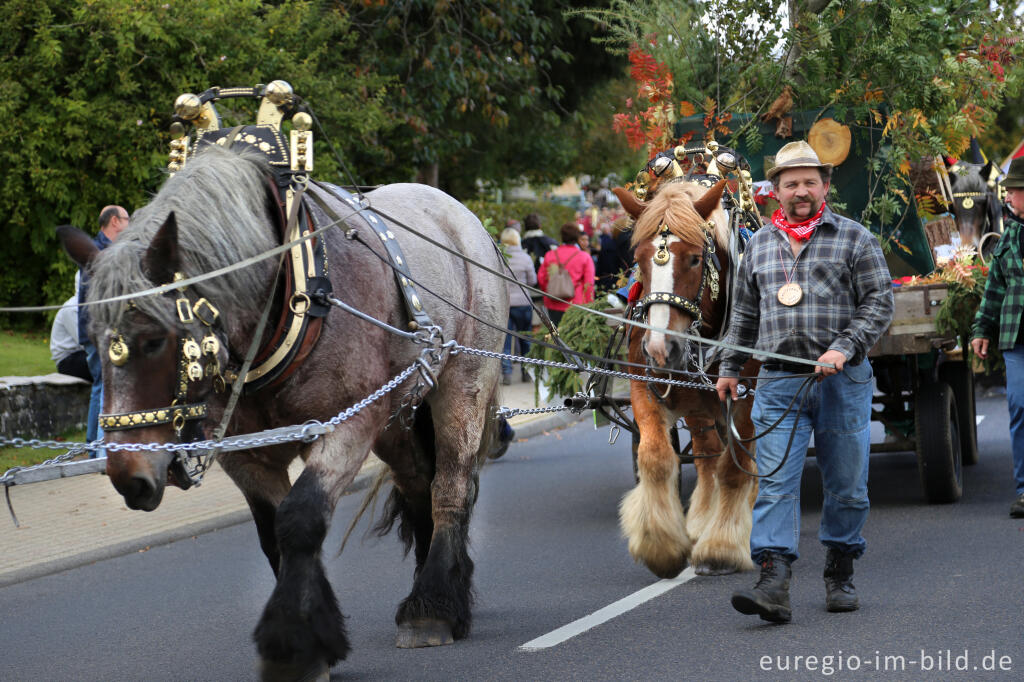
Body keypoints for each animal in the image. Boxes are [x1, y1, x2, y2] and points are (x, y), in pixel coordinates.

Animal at [55, 146, 507, 675]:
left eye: (152, 340)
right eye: (94, 341)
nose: (130, 476)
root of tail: (463, 218)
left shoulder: (349, 423)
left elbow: (301, 518)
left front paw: (294, 644)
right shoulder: (245, 452)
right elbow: (275, 531)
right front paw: (310, 642)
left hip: (463, 383)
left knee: (450, 487)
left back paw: (433, 606)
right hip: (398, 413)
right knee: (418, 483)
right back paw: (434, 594)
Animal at [610, 178, 757, 577]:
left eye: (694, 259)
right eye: (639, 260)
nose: (662, 348)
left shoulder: (743, 399)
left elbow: (734, 466)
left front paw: (722, 546)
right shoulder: (645, 387)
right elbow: (655, 457)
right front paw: (660, 545)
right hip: (696, 405)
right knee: (706, 454)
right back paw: (700, 519)